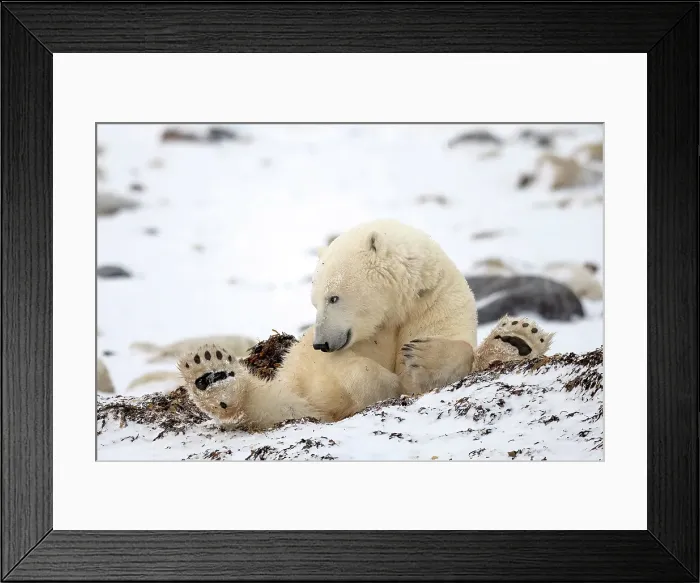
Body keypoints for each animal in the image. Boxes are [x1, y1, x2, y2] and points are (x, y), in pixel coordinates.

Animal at [177, 219, 554, 430]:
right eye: (315, 301)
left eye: (333, 298)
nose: (319, 342)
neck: (395, 310)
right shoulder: (326, 363)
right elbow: (351, 373)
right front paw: (388, 383)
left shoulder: (436, 304)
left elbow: (448, 355)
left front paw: (420, 358)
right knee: (276, 405)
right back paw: (211, 375)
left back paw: (516, 340)